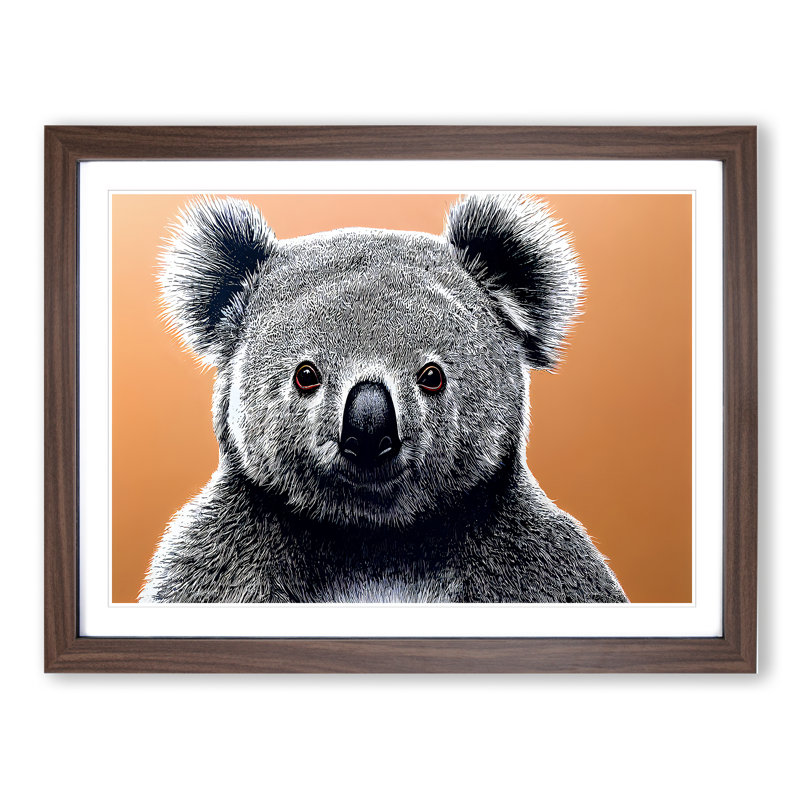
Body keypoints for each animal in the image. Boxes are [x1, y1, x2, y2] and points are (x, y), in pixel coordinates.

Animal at [139, 193, 627, 603]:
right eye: (305, 376)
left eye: (432, 377)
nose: (370, 431)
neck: (375, 543)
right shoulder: (218, 566)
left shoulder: (543, 568)